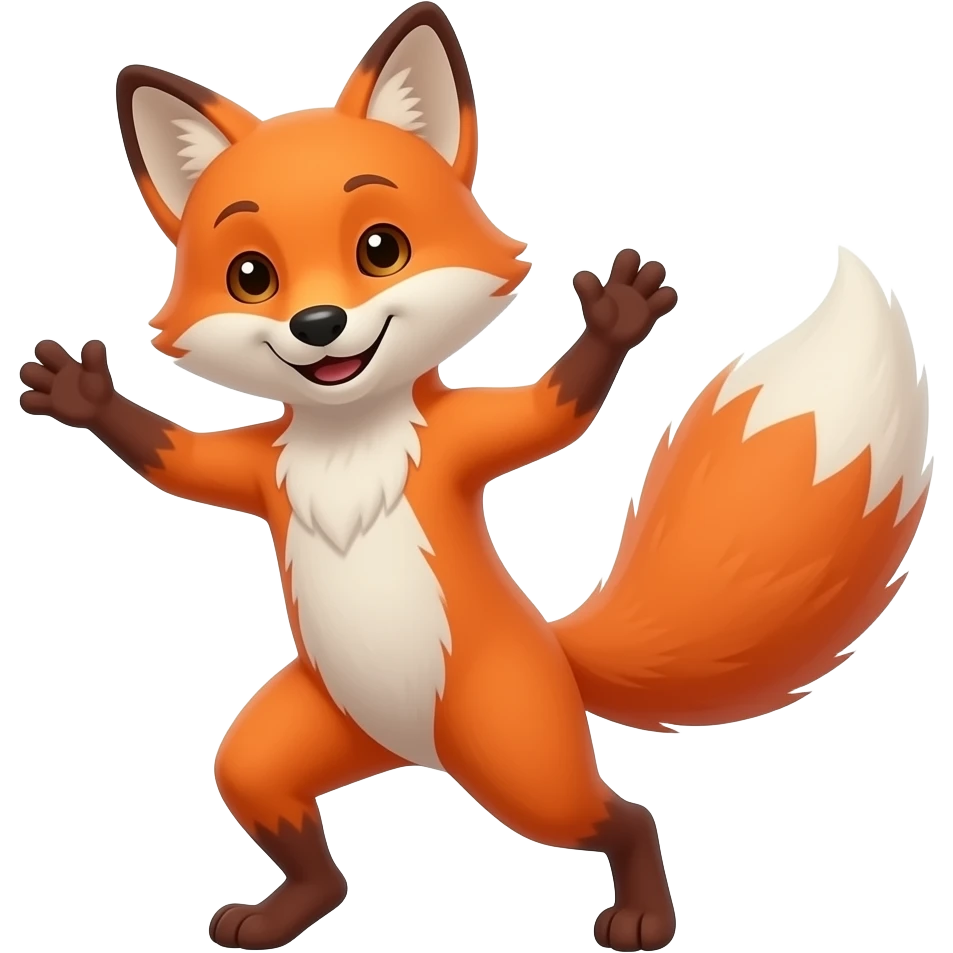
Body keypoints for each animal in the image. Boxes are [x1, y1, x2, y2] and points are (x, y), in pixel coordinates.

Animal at [16, 2, 934, 951]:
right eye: (250, 275)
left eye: (381, 248)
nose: (318, 324)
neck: (351, 432)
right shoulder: (259, 467)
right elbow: (183, 461)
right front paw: (87, 397)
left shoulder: (463, 442)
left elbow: (552, 415)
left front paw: (612, 322)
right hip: (309, 728)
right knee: (278, 808)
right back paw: (287, 910)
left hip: (519, 752)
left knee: (623, 817)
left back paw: (642, 914)